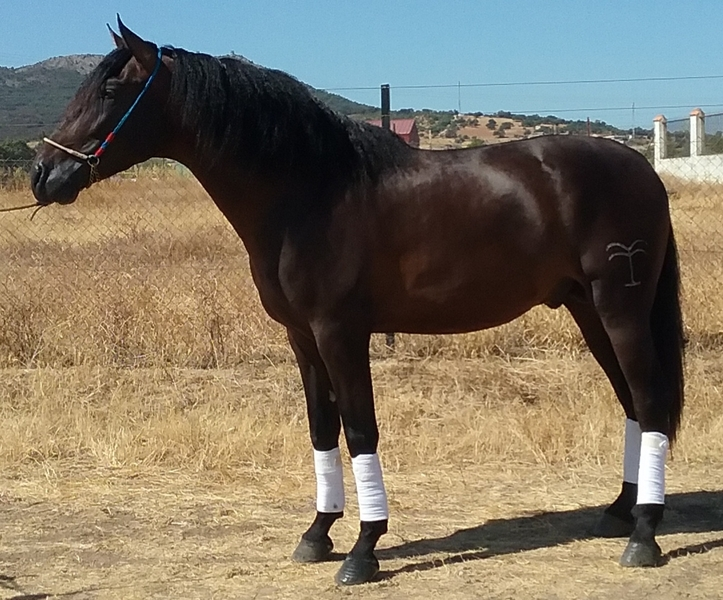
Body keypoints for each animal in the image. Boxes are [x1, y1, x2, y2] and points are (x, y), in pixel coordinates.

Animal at [30, 19, 684, 586]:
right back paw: (621, 511)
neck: (309, 193)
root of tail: (641, 167)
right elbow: (323, 429)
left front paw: (364, 549)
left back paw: (644, 536)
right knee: (633, 403)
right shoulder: (301, 336)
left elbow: (360, 429)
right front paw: (318, 533)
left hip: (620, 310)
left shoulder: (340, 333)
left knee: (650, 402)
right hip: (589, 311)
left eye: (111, 88)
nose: (43, 173)